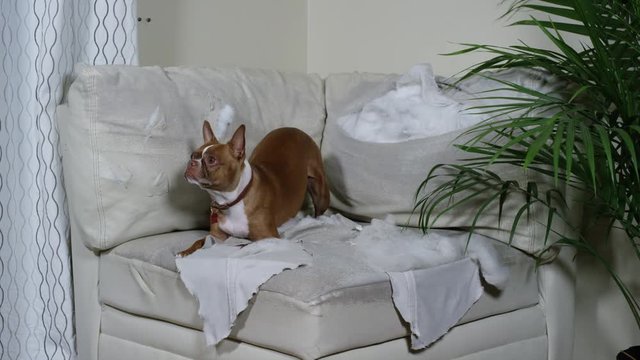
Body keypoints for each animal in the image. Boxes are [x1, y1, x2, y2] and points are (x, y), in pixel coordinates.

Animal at [178, 122, 328, 258]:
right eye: (192, 155)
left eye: (211, 160)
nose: (191, 163)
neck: (232, 200)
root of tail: (293, 129)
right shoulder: (216, 235)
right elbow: (200, 241)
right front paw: (186, 251)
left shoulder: (269, 237)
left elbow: (245, 243)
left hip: (319, 191)